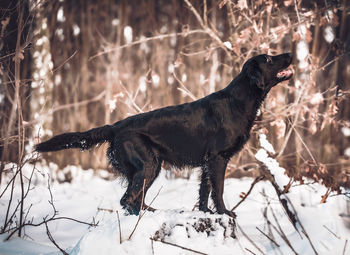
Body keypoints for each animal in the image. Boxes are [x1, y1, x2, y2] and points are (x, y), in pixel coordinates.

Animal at [36, 52, 292, 216]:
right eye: (269, 59)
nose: (289, 53)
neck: (236, 102)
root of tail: (116, 126)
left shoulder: (207, 162)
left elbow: (204, 191)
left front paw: (205, 212)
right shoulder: (218, 158)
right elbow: (217, 189)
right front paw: (224, 213)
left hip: (145, 168)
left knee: (131, 199)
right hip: (149, 165)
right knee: (129, 199)